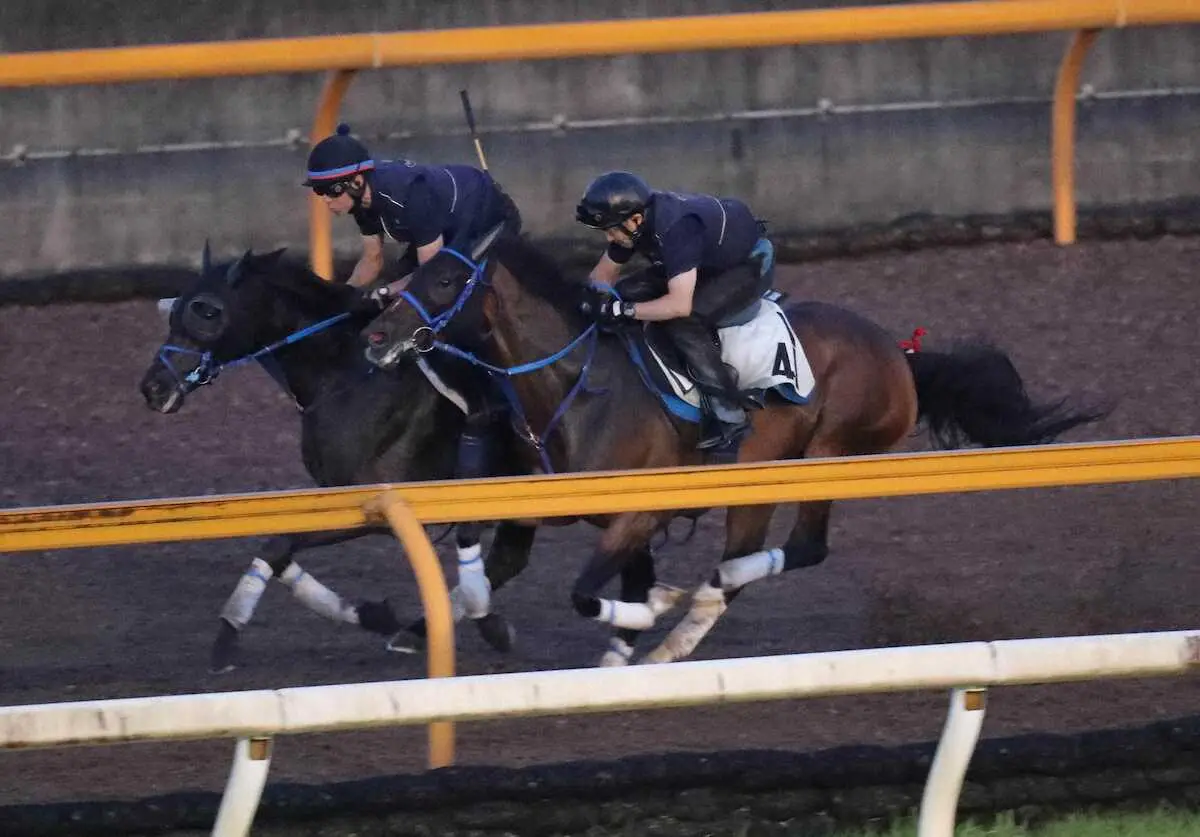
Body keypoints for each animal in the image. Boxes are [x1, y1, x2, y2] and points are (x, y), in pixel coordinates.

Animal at [138, 243, 537, 671]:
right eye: (175, 309)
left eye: (208, 311)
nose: (153, 388)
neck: (344, 379)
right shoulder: (331, 493)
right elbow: (278, 548)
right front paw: (371, 614)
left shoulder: (372, 502)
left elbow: (278, 544)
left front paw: (227, 635)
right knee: (509, 559)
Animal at [357, 226, 1104, 666]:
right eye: (410, 273)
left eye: (445, 281)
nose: (376, 336)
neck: (577, 387)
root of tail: (899, 352)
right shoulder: (540, 509)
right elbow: (486, 566)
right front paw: (424, 624)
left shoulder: (641, 513)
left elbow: (586, 592)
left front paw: (650, 611)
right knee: (749, 560)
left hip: (816, 459)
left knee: (797, 548)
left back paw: (687, 615)